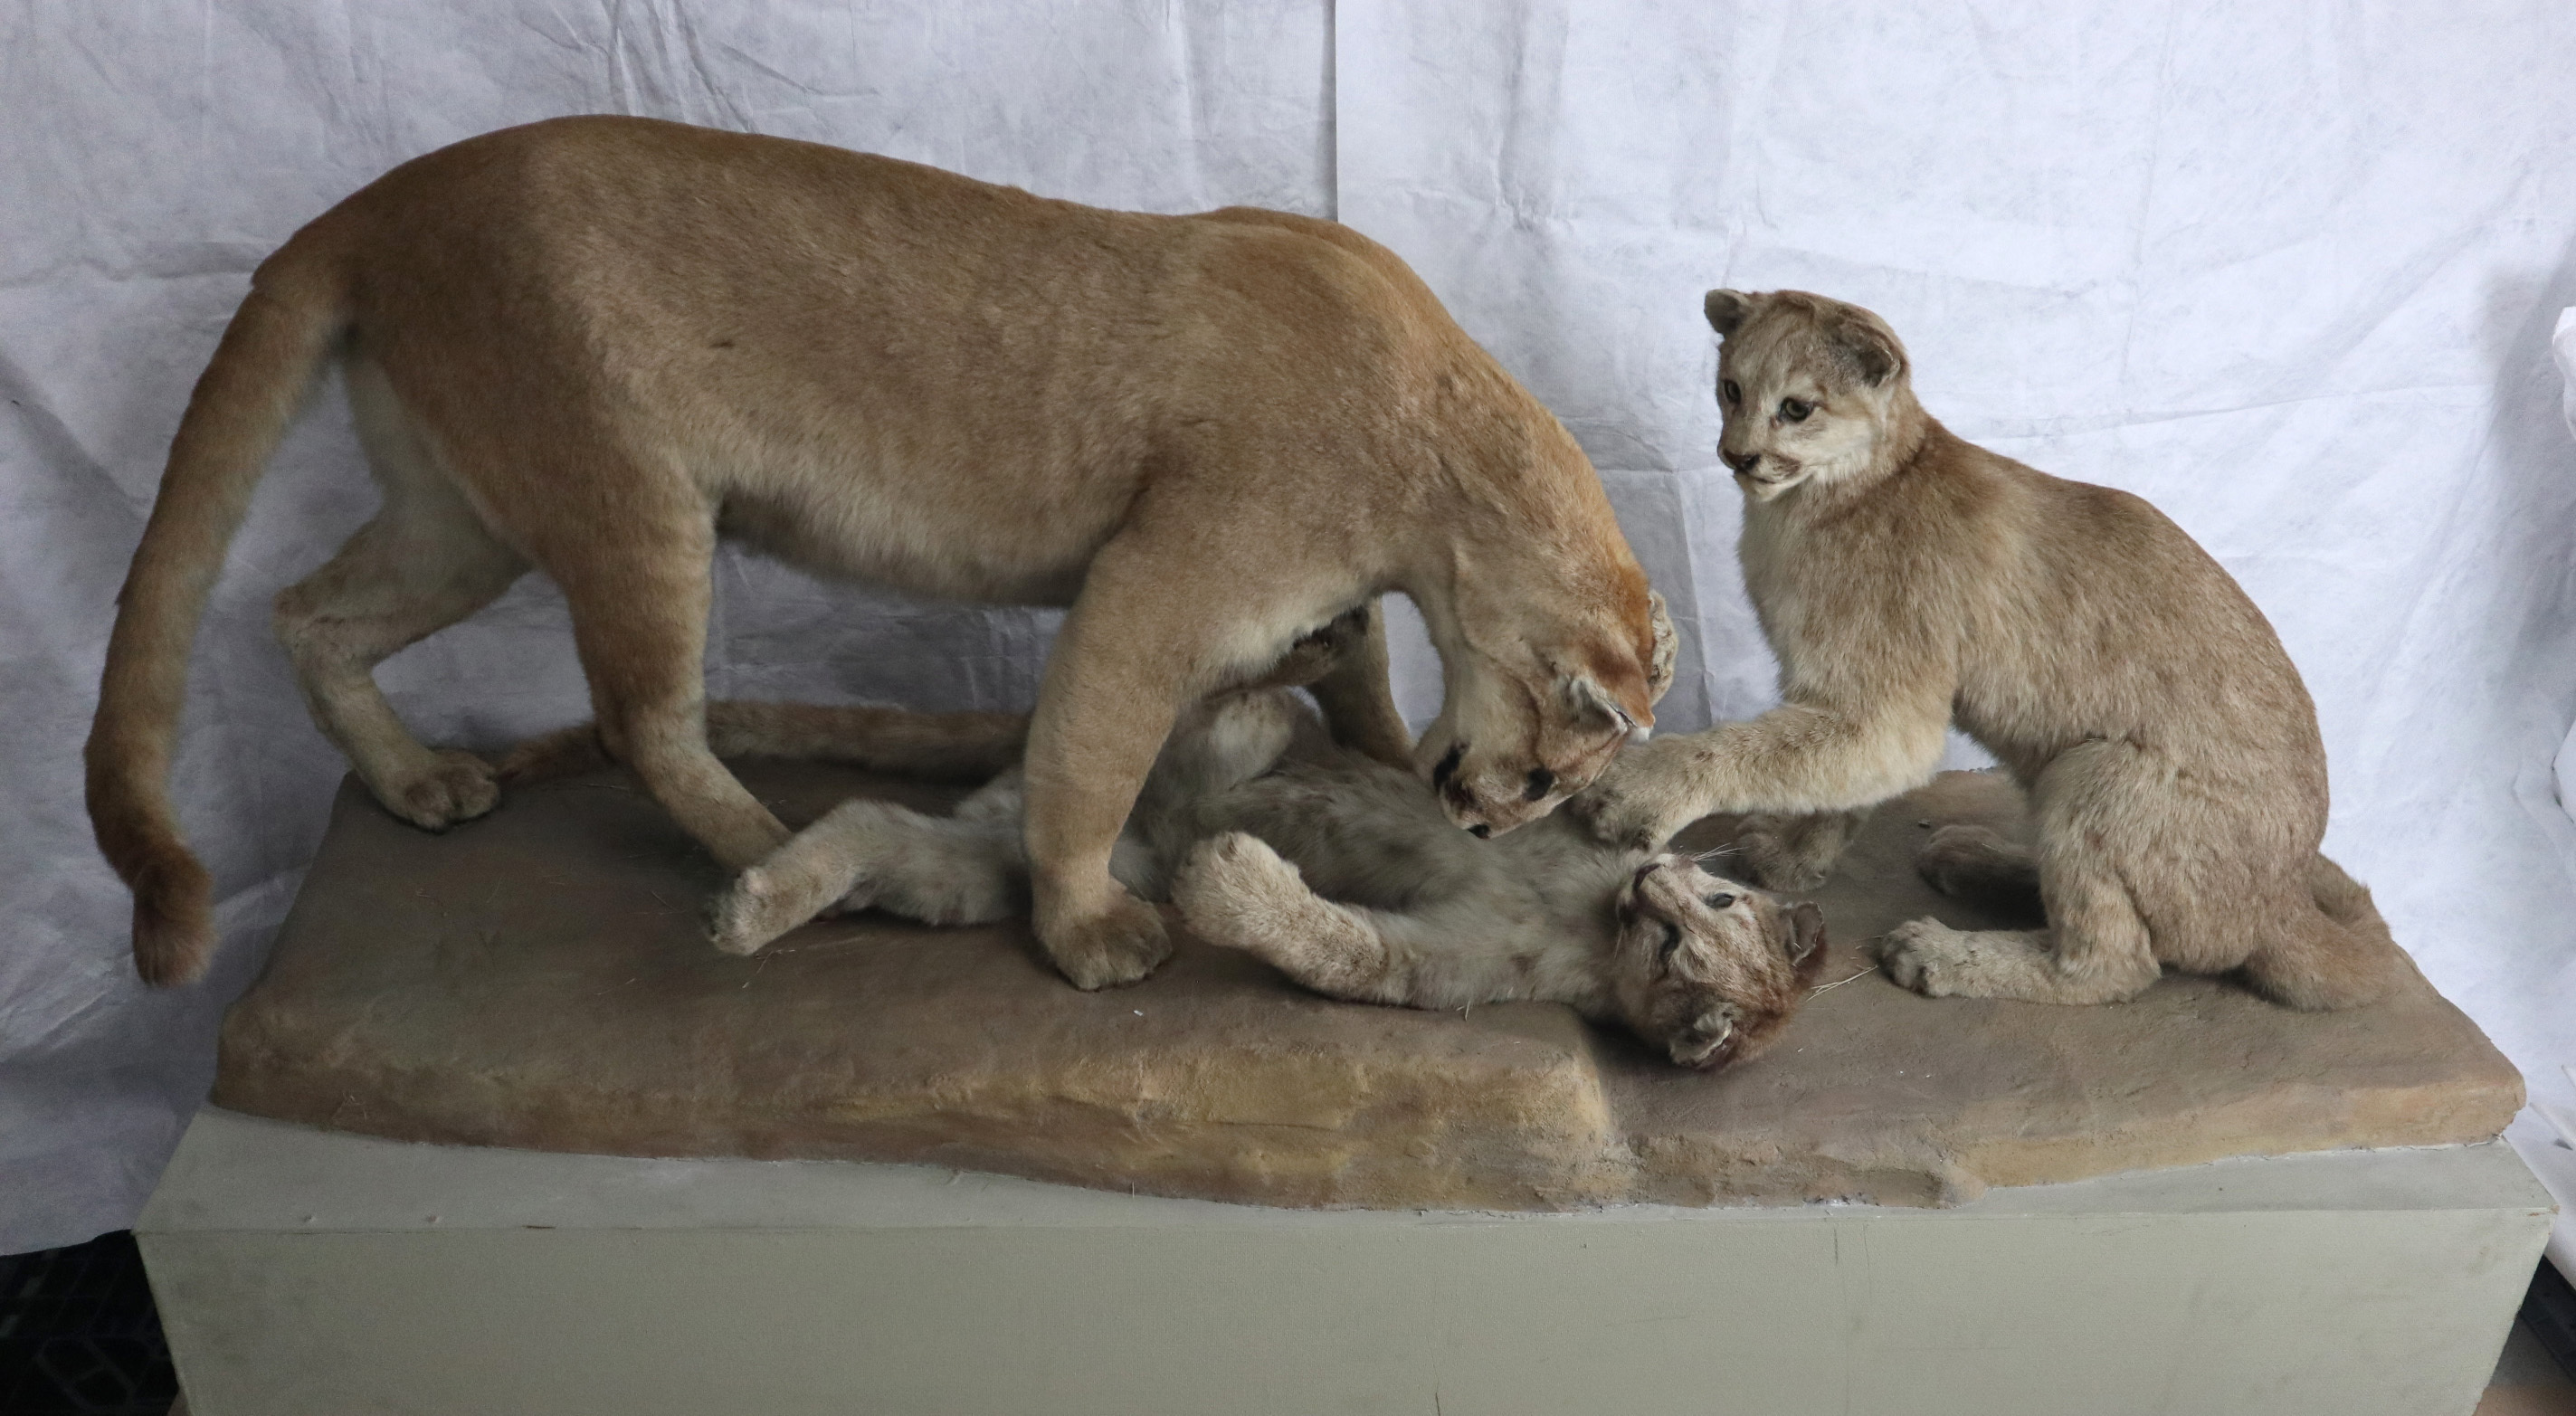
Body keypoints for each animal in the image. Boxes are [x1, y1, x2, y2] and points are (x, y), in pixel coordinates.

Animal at [85, 116, 1668, 993]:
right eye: (1555, 768)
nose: (1495, 826)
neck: (1444, 465)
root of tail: (375, 200)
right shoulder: (1150, 593)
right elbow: (1087, 763)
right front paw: (1088, 929)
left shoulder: (1318, 616)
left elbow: (1368, 694)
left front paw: (1386, 760)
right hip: (629, 501)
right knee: (642, 718)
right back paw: (770, 858)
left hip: (458, 515)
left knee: (308, 609)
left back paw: (417, 784)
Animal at [1576, 294, 2400, 1014]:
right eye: (1730, 389)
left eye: (1796, 408)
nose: (1736, 454)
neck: (1821, 504)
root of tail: (2284, 902)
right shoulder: (1856, 702)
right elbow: (1826, 785)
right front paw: (1794, 860)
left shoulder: (1885, 708)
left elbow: (1745, 748)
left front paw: (1644, 786)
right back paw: (1980, 859)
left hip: (2094, 771)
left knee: (2116, 965)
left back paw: (1945, 951)